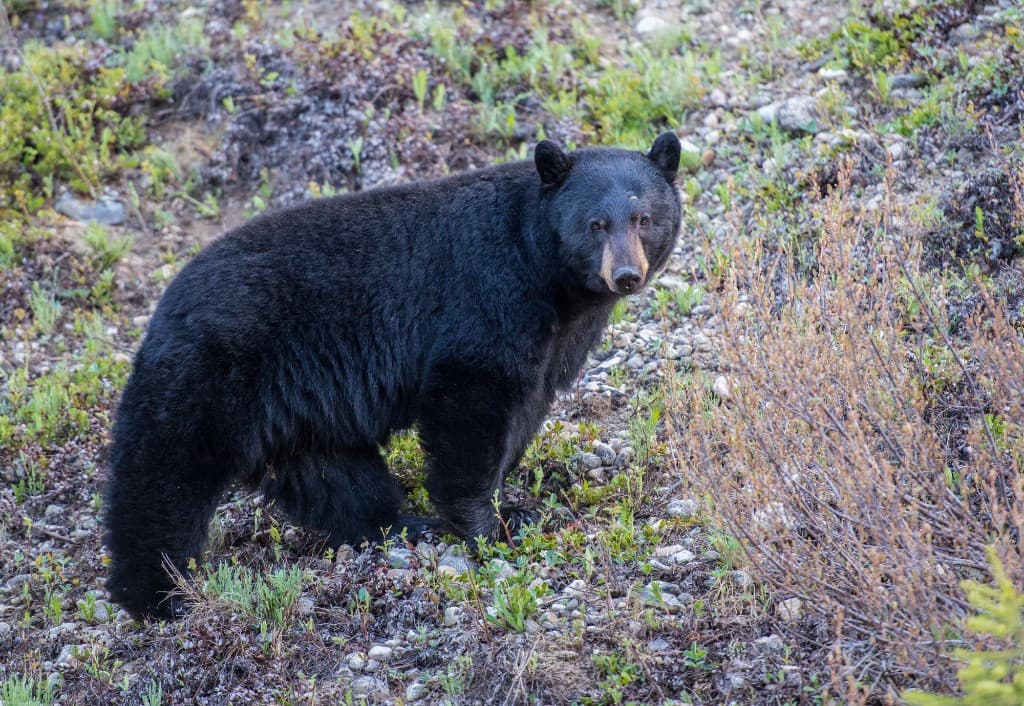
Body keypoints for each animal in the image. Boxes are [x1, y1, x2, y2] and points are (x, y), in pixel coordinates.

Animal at [104, 132, 682, 619]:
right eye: (595, 224)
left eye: (644, 219)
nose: (626, 275)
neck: (544, 271)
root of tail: (162, 309)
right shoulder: (486, 297)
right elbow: (470, 402)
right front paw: (489, 523)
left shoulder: (559, 335)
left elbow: (529, 401)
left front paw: (507, 502)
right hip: (212, 373)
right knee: (165, 474)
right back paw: (157, 593)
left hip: (296, 409)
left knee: (334, 475)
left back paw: (401, 525)